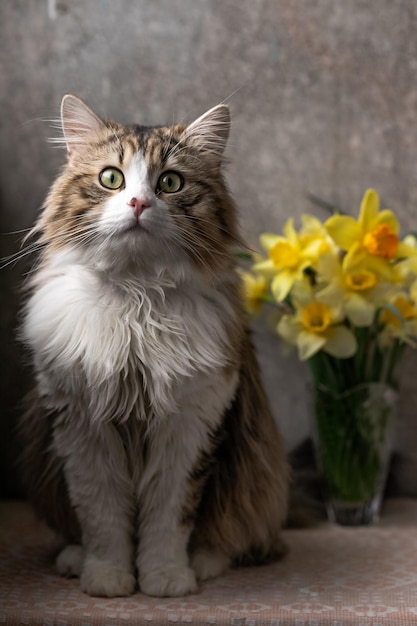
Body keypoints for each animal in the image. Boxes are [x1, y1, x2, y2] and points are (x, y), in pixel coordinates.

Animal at [17, 95, 290, 596]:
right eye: (111, 178)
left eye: (170, 182)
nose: (139, 202)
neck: (136, 293)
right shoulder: (82, 425)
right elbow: (102, 515)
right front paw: (108, 577)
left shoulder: (190, 423)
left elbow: (169, 516)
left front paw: (165, 577)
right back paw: (73, 560)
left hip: (257, 470)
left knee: (238, 535)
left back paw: (203, 563)